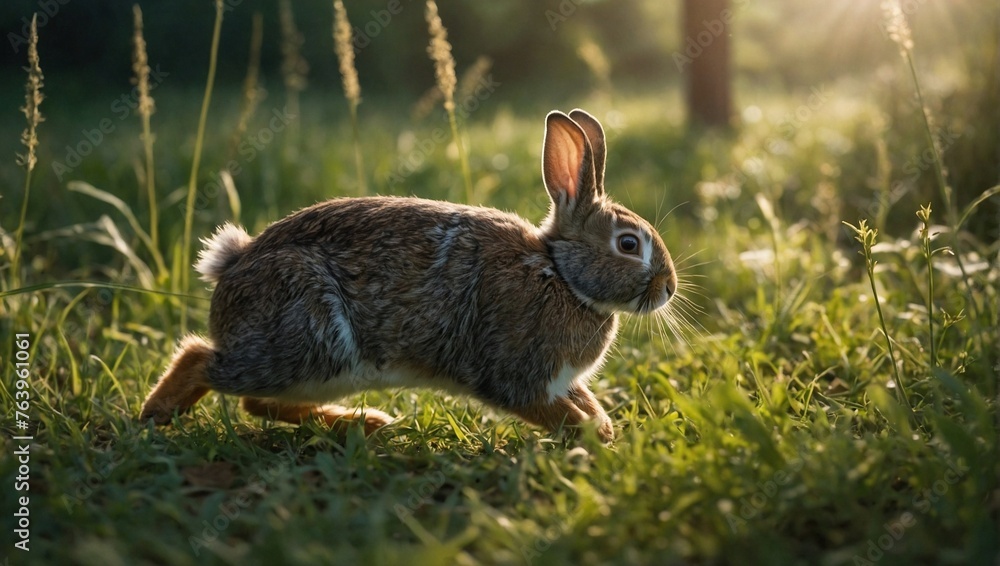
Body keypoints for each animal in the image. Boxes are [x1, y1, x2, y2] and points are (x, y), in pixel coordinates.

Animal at [139, 109, 677, 443]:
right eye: (629, 244)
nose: (668, 289)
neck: (561, 276)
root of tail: (232, 265)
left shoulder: (561, 379)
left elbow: (585, 402)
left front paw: (604, 429)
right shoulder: (515, 375)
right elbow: (555, 412)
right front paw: (594, 439)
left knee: (256, 403)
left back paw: (364, 424)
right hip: (308, 340)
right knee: (203, 359)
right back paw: (153, 417)